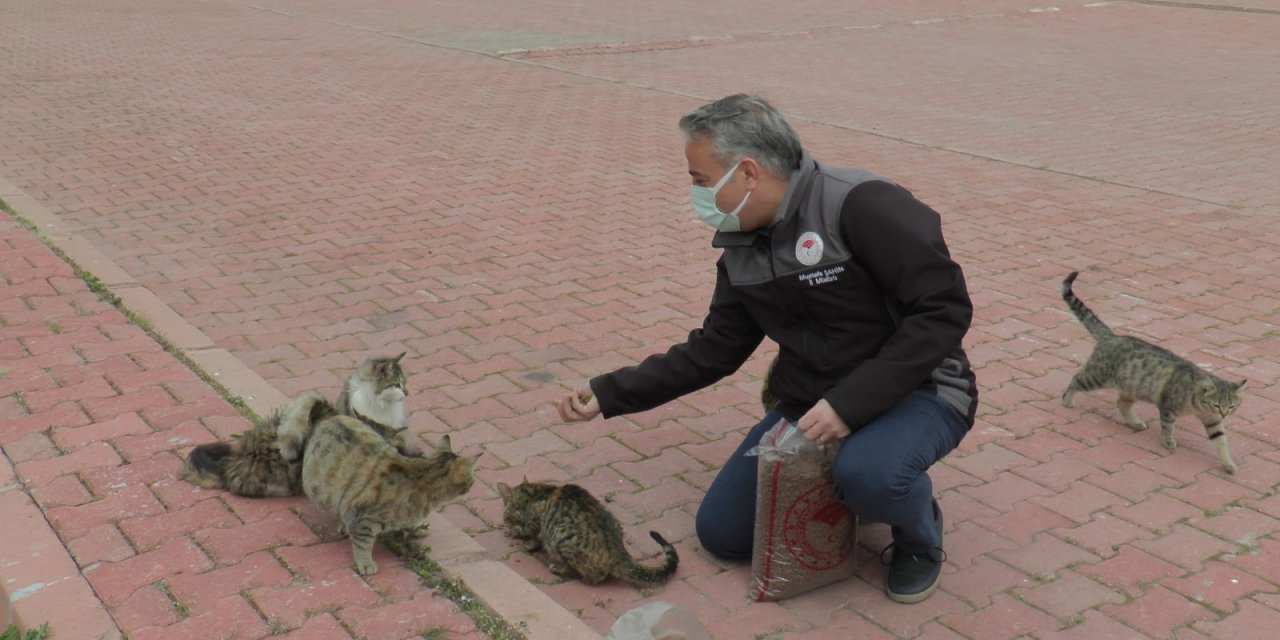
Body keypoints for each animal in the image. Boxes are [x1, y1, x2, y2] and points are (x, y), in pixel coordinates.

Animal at [299, 417, 481, 578]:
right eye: (471, 479)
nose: (474, 483)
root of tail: (330, 418)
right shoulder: (363, 520)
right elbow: (363, 545)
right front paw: (366, 564)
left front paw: (418, 527)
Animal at [1059, 271, 1249, 476]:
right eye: (1217, 404)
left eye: (1231, 406)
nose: (1224, 414)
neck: (1198, 406)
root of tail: (1111, 337)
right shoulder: (1168, 408)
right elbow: (1167, 427)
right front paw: (1168, 441)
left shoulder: (1213, 422)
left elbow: (1221, 443)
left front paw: (1228, 464)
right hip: (1097, 377)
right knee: (1075, 380)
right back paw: (1067, 400)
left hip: (1132, 386)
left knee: (1121, 403)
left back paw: (1135, 422)